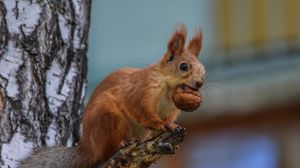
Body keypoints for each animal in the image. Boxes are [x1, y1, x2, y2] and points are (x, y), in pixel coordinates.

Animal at [19, 25, 205, 168]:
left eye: (203, 70)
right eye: (183, 66)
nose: (200, 83)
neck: (168, 88)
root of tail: (88, 147)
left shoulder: (171, 108)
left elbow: (169, 118)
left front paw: (172, 126)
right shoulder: (141, 92)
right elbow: (143, 111)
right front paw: (160, 125)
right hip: (109, 117)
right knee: (107, 150)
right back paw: (122, 144)